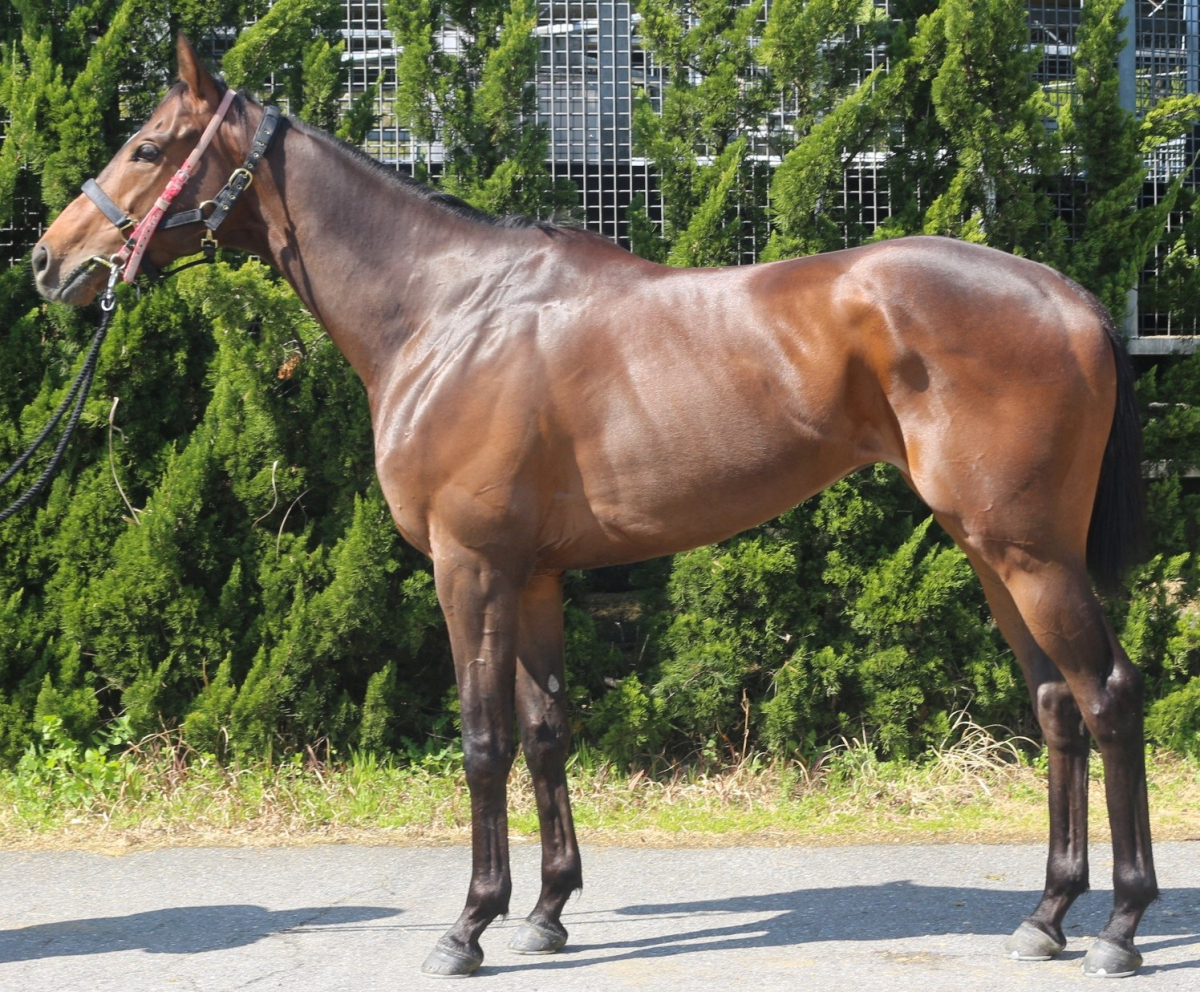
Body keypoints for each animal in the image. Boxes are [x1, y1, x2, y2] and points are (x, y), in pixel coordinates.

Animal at [31, 36, 1156, 979]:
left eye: (145, 146)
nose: (48, 260)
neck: (447, 310)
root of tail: (1068, 295)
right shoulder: (532, 573)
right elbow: (545, 731)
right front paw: (546, 911)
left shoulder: (471, 566)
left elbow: (482, 739)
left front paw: (468, 925)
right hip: (991, 548)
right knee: (1057, 704)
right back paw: (1047, 916)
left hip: (1030, 552)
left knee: (1107, 694)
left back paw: (1120, 926)